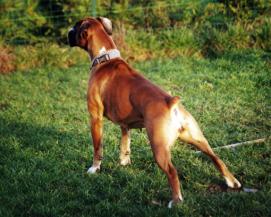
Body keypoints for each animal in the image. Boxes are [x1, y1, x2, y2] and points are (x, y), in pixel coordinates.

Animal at [68, 17, 242, 209]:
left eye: (75, 27)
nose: (68, 32)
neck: (105, 58)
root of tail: (171, 103)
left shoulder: (95, 118)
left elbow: (97, 147)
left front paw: (94, 168)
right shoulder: (125, 124)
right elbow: (125, 144)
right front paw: (124, 163)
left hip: (159, 148)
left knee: (172, 172)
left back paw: (176, 200)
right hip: (197, 139)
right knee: (216, 158)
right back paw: (232, 182)